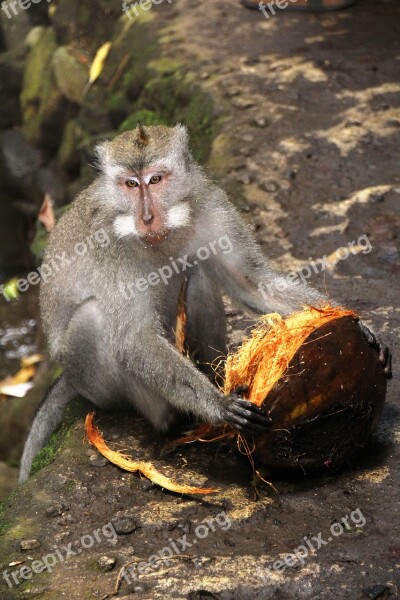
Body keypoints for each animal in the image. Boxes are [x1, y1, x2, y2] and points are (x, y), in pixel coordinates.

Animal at [18, 123, 390, 482]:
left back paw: (218, 372)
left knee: (197, 278)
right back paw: (169, 418)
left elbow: (250, 282)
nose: (147, 217)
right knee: (94, 318)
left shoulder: (213, 206)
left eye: (155, 180)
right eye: (130, 184)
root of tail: (70, 377)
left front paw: (363, 328)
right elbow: (134, 338)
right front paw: (218, 405)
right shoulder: (109, 244)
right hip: (94, 382)